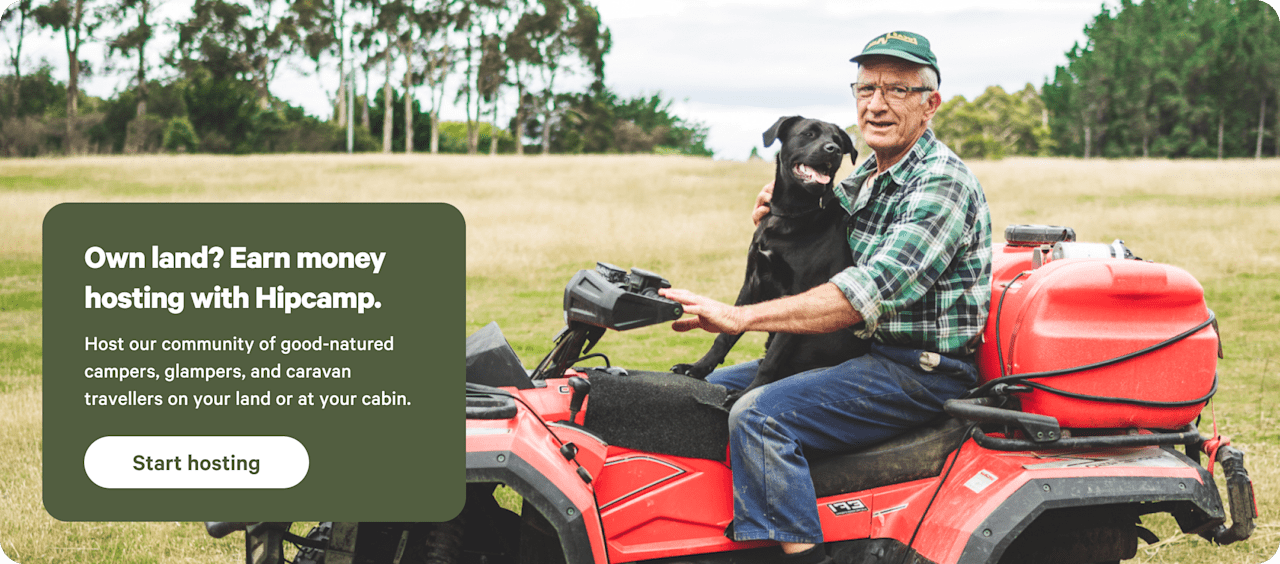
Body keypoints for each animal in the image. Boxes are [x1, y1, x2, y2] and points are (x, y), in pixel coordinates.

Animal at [670, 113, 870, 396]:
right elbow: (726, 335)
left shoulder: (799, 297)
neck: (791, 214)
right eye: (809, 134)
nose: (834, 150)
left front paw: (746, 393)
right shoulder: (752, 281)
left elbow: (774, 358)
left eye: (838, 141)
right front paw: (698, 368)